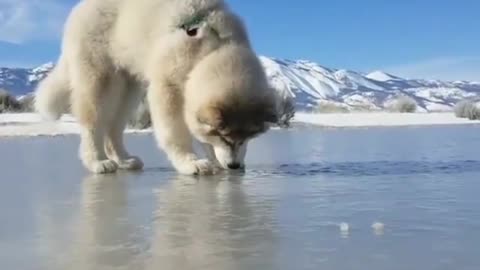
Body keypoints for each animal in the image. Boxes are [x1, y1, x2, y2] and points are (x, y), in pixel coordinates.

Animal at [34, 0, 278, 175]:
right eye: (225, 138)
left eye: (247, 138)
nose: (235, 166)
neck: (211, 50)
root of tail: (80, 7)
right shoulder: (167, 87)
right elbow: (175, 132)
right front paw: (190, 162)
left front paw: (214, 161)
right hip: (99, 79)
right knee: (93, 124)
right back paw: (98, 161)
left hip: (128, 87)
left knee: (114, 126)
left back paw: (124, 160)